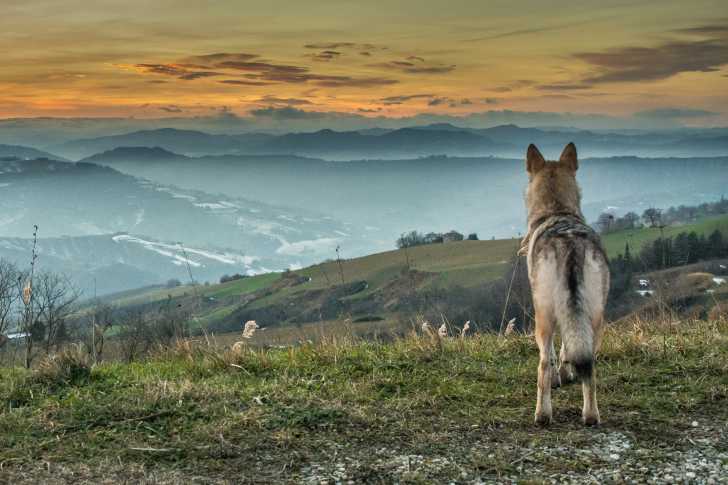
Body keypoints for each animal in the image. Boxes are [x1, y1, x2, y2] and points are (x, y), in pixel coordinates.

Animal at [522, 142, 610, 426]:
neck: (557, 211)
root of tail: (570, 246)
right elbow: (567, 346)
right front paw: (566, 372)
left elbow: (550, 356)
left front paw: (558, 377)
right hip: (596, 317)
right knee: (590, 366)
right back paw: (591, 416)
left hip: (543, 318)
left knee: (541, 366)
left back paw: (542, 415)